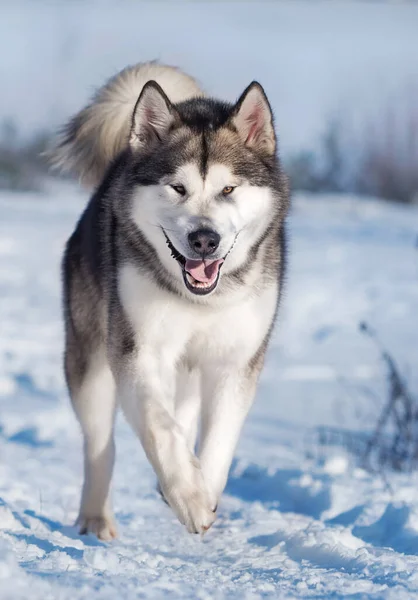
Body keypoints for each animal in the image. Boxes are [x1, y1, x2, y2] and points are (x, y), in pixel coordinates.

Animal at [49, 61, 288, 540]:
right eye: (177, 188)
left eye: (229, 190)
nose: (204, 239)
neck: (201, 301)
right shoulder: (138, 350)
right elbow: (158, 427)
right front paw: (189, 498)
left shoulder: (235, 361)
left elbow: (219, 441)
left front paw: (203, 489)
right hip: (90, 360)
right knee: (101, 444)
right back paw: (95, 517)